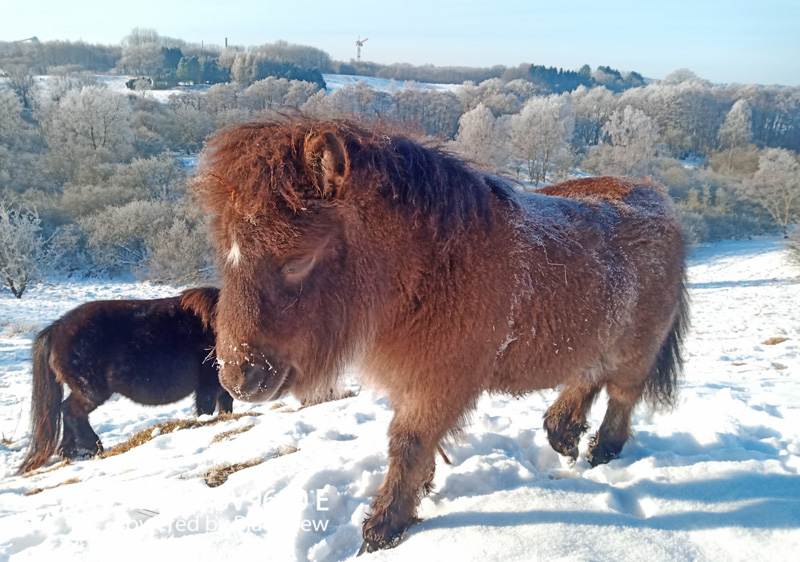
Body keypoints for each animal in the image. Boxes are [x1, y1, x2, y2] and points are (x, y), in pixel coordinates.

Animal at [18, 286, 231, 470]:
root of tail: (56, 328)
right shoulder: (208, 385)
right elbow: (206, 410)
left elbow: (226, 408)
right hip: (91, 391)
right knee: (71, 411)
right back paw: (92, 447)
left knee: (67, 412)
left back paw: (73, 452)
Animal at [195, 118, 688, 552]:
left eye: (297, 260)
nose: (238, 378)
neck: (433, 268)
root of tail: (656, 197)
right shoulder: (411, 382)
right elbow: (416, 446)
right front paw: (418, 493)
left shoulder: (438, 384)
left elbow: (408, 443)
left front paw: (385, 525)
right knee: (587, 379)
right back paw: (562, 433)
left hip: (635, 352)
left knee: (620, 397)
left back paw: (601, 450)